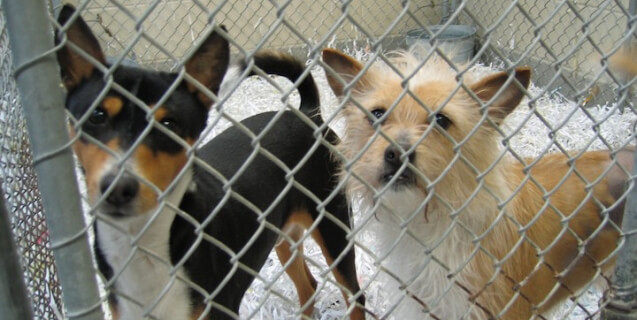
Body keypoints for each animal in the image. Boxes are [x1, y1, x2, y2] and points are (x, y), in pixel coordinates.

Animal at [57, 5, 366, 320]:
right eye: (97, 116)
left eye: (170, 124)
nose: (118, 188)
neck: (144, 244)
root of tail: (308, 113)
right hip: (282, 237)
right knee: (309, 287)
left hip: (333, 229)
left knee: (355, 296)